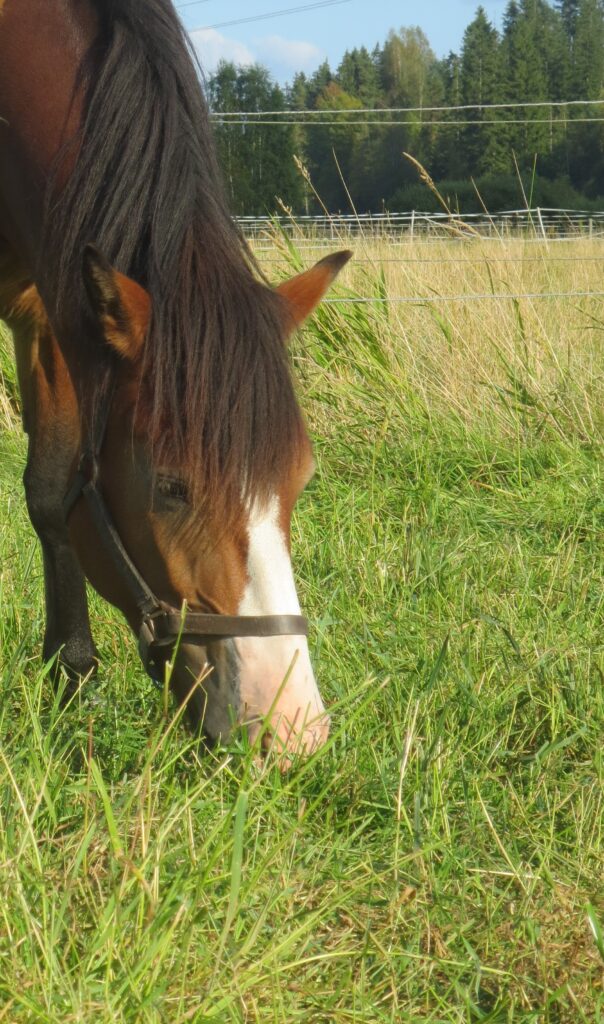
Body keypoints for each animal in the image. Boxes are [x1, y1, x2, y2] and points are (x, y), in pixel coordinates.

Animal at [0, 0, 350, 757]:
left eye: (300, 480)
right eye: (169, 487)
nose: (290, 727)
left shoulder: (55, 304)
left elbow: (53, 490)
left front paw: (72, 676)